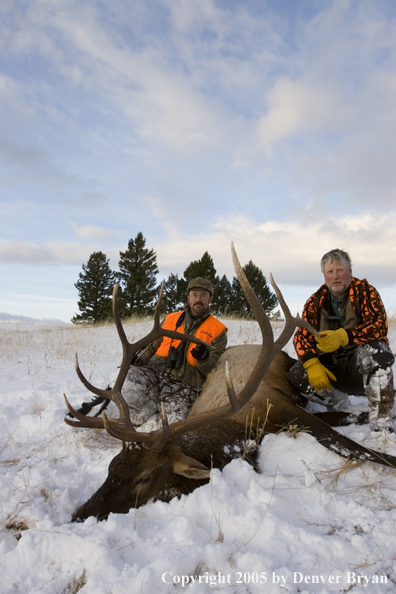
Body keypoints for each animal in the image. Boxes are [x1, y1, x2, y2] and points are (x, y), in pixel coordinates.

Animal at [64, 244, 396, 520]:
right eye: (111, 467)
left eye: (143, 478)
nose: (79, 514)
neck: (239, 428)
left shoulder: (281, 406)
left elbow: (354, 446)